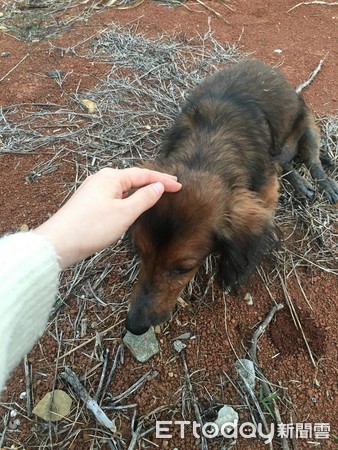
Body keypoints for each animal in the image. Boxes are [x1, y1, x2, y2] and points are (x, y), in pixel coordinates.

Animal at [125, 59, 336, 334]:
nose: (134, 325)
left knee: (311, 161)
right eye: (139, 252)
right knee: (286, 164)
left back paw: (323, 183)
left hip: (308, 126)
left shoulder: (266, 190)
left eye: (183, 269)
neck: (208, 148)